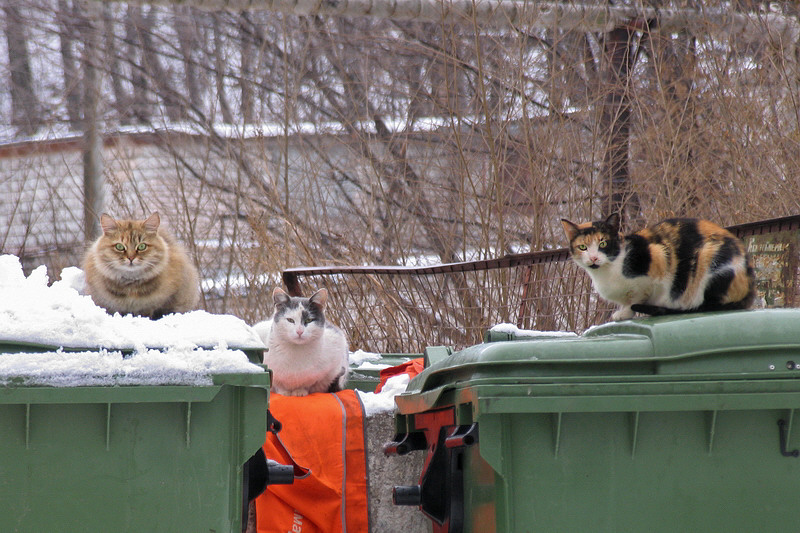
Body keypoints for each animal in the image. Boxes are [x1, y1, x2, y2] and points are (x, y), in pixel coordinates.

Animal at [560, 212, 752, 320]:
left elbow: (635, 298)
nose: (593, 257)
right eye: (583, 247)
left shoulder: (657, 258)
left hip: (710, 257)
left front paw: (624, 313)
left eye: (603, 244)